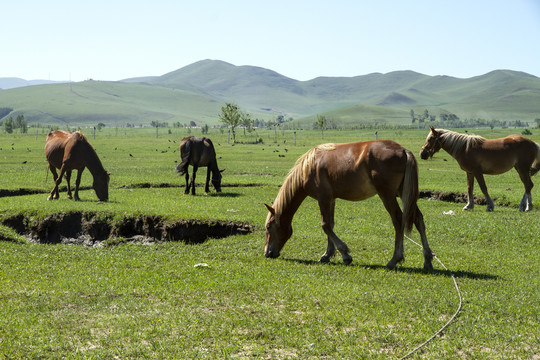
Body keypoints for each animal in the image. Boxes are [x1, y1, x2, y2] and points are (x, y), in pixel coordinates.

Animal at [264, 141, 434, 270]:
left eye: (268, 227)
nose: (267, 253)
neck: (309, 167)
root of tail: (403, 151)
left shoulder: (323, 198)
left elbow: (325, 225)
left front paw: (345, 254)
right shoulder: (331, 199)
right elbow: (330, 224)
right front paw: (327, 254)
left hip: (387, 195)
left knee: (398, 220)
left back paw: (394, 259)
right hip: (404, 193)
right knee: (418, 219)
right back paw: (427, 260)